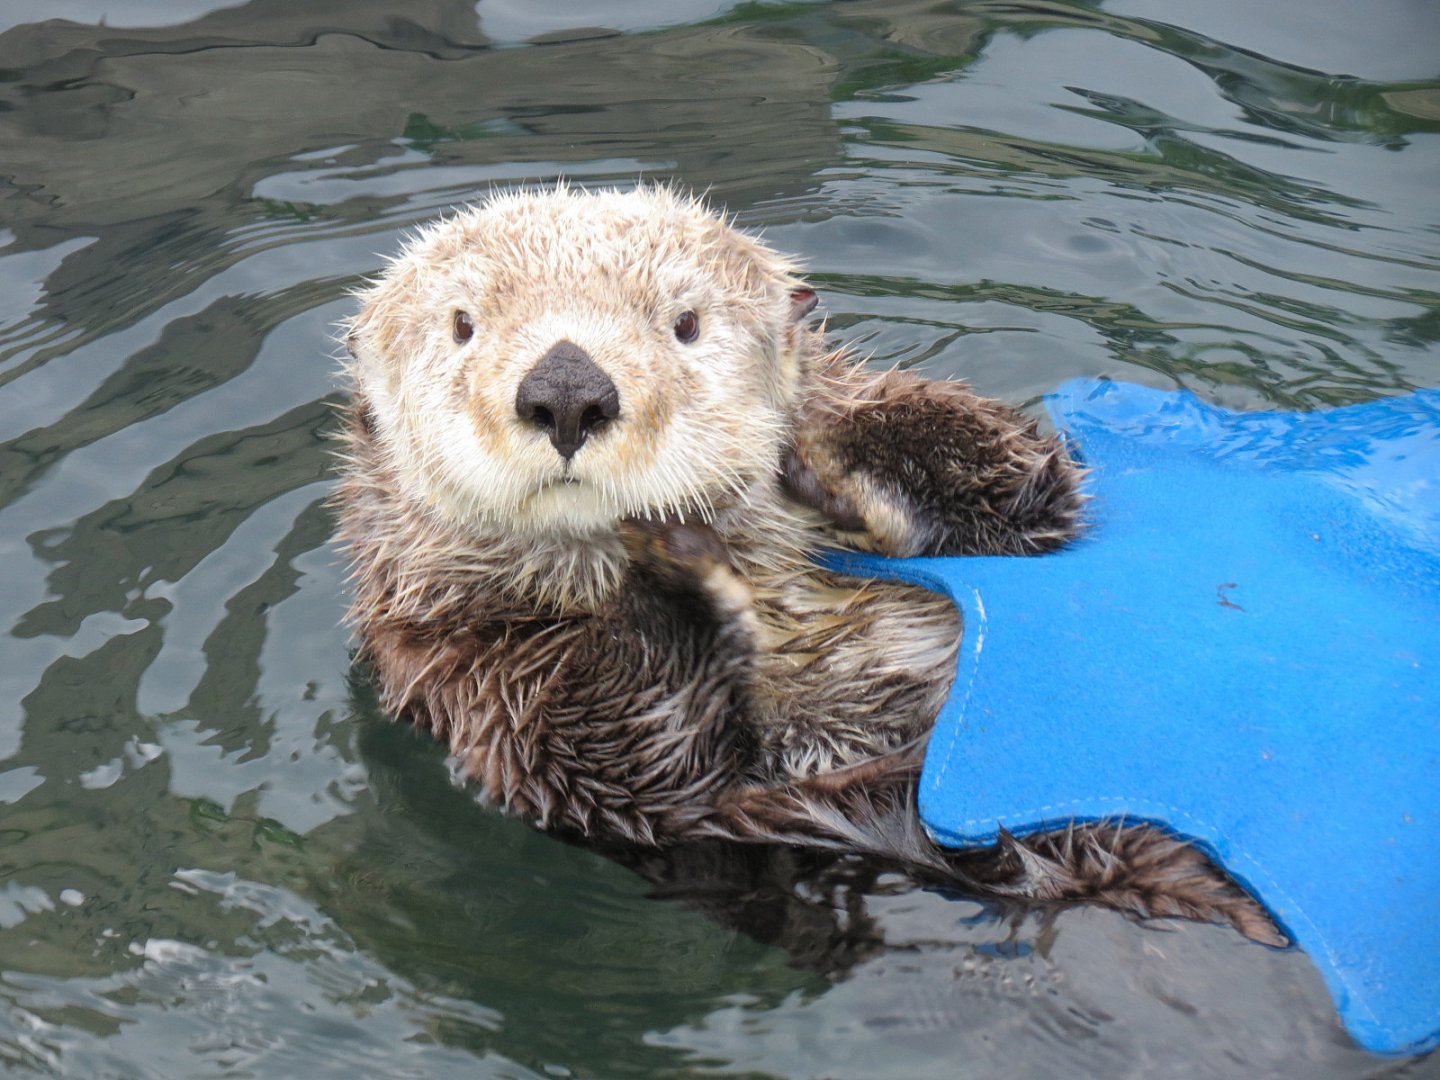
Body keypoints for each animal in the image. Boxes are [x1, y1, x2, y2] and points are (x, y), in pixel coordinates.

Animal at [336, 186, 1276, 943]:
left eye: (686, 323)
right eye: (463, 325)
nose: (567, 389)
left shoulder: (1014, 511)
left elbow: (1031, 498)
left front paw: (827, 456)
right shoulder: (475, 680)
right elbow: (632, 758)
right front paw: (680, 571)